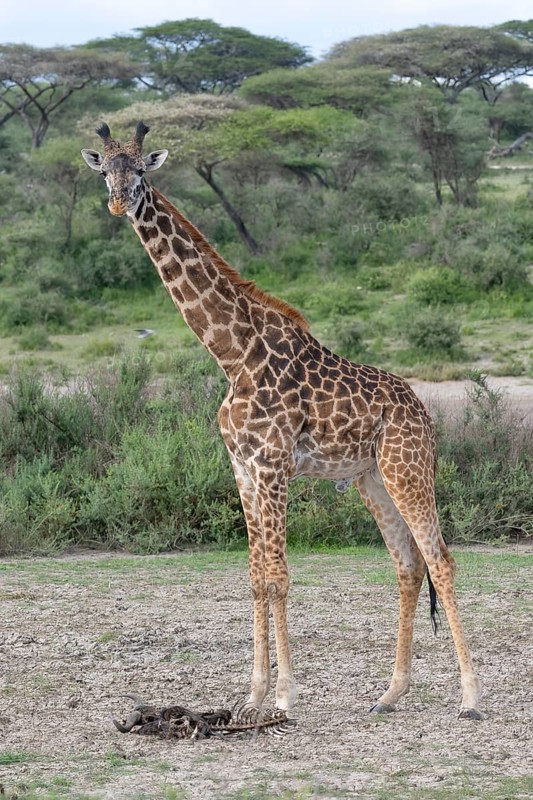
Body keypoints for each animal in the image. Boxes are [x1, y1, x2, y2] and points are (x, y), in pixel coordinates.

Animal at [82, 121, 481, 720]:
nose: (116, 202)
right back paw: (390, 693)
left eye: (141, 170)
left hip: (407, 470)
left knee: (442, 561)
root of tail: (425, 413)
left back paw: (471, 697)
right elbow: (254, 578)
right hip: (370, 479)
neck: (232, 355)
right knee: (409, 567)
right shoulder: (243, 469)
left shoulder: (272, 467)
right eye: (105, 169)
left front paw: (286, 695)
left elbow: (279, 576)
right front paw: (251, 696)